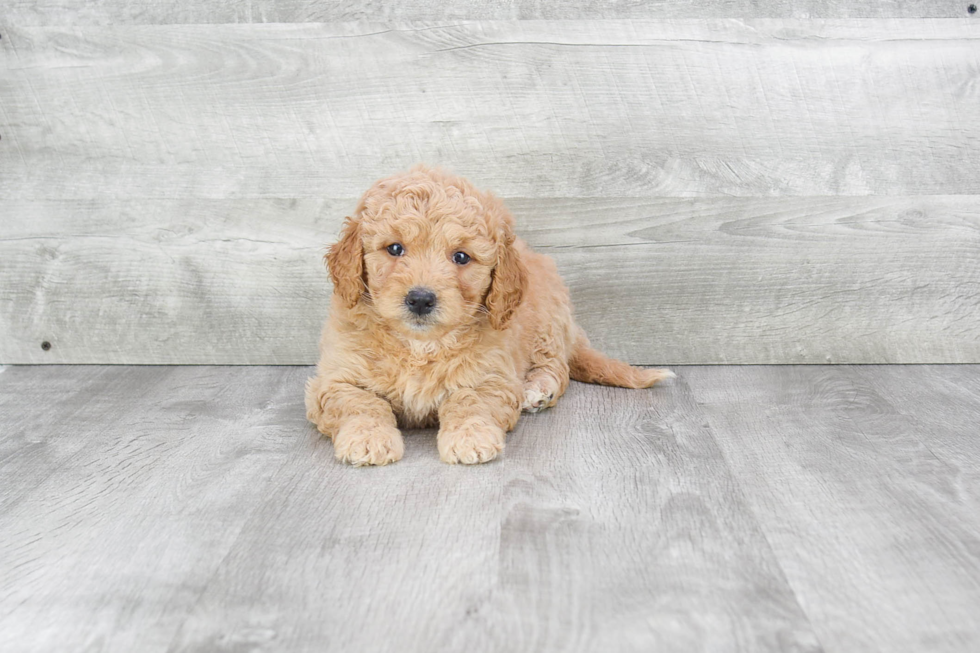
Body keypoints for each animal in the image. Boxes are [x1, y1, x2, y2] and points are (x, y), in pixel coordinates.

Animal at [306, 166, 672, 466]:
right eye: (394, 248)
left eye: (461, 257)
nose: (421, 299)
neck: (420, 345)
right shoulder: (335, 379)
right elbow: (360, 402)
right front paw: (368, 438)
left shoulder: (493, 375)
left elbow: (470, 400)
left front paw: (470, 438)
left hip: (547, 324)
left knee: (558, 367)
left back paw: (537, 390)